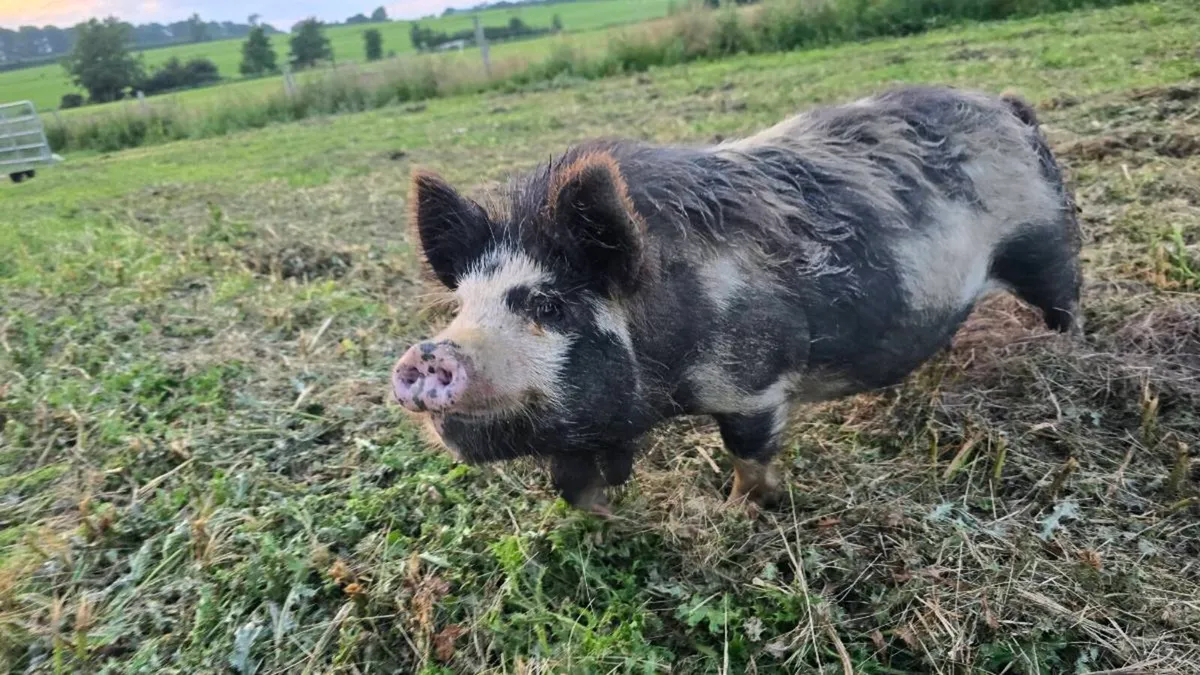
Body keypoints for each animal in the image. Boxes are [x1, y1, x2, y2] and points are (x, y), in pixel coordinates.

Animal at [391, 85, 1081, 515]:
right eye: (462, 305)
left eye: (548, 305)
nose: (429, 354)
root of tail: (1009, 108)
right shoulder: (584, 431)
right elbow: (574, 485)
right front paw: (604, 520)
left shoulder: (756, 382)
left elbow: (749, 451)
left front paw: (742, 511)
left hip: (1045, 242)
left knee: (1065, 300)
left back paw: (1065, 353)